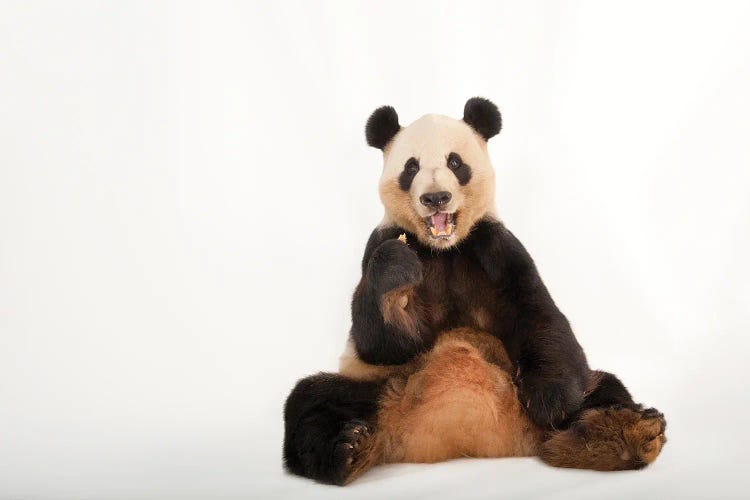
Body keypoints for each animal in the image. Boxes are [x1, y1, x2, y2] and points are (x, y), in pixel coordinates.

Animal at [284, 97, 668, 484]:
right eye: (411, 167)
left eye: (455, 163)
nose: (436, 198)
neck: (443, 248)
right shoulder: (380, 243)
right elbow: (383, 343)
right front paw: (396, 278)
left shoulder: (495, 247)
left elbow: (538, 312)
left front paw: (551, 399)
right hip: (371, 386)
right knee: (310, 403)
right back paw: (348, 450)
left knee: (602, 390)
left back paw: (623, 436)